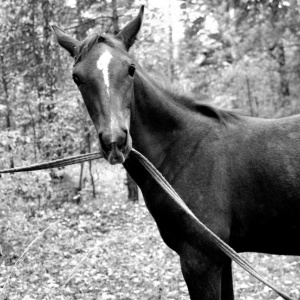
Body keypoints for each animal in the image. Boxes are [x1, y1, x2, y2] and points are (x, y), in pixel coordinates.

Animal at [52, 6, 300, 300]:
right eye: (76, 77)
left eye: (131, 68)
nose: (115, 142)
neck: (183, 149)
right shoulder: (223, 258)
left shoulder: (201, 261)